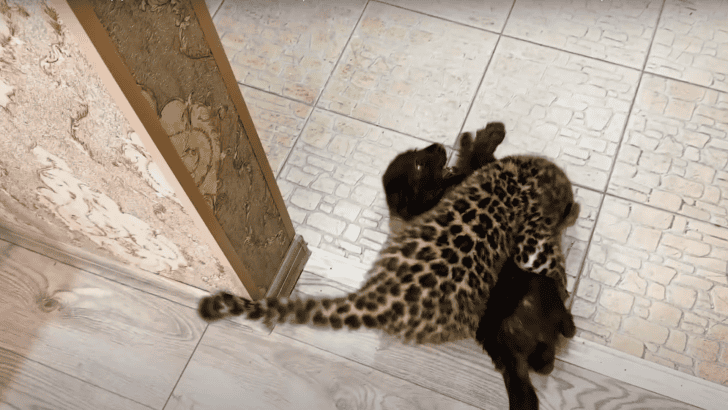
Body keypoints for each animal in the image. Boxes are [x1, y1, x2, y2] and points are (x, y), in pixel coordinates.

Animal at [198, 154, 580, 354]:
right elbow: (552, 262)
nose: (573, 203)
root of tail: (381, 298)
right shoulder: (533, 239)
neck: (522, 176)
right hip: (457, 317)